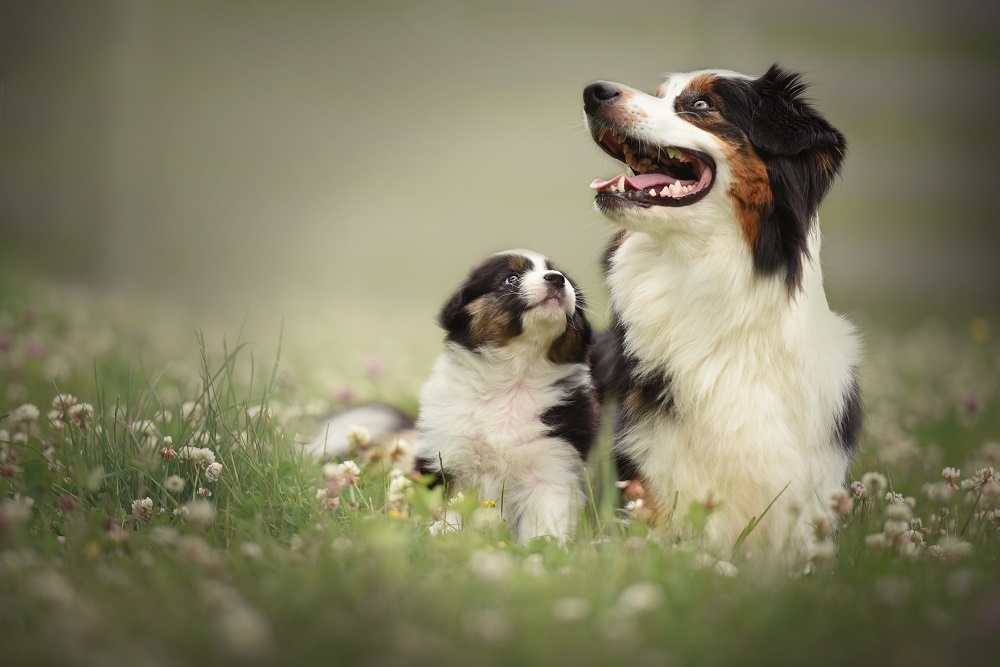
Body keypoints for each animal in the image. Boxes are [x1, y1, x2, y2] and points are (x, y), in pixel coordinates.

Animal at [412, 249, 596, 544]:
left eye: (564, 277)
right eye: (511, 278)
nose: (557, 279)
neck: (514, 377)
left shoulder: (552, 466)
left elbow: (546, 524)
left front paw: (543, 548)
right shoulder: (449, 460)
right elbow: (451, 512)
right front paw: (444, 537)